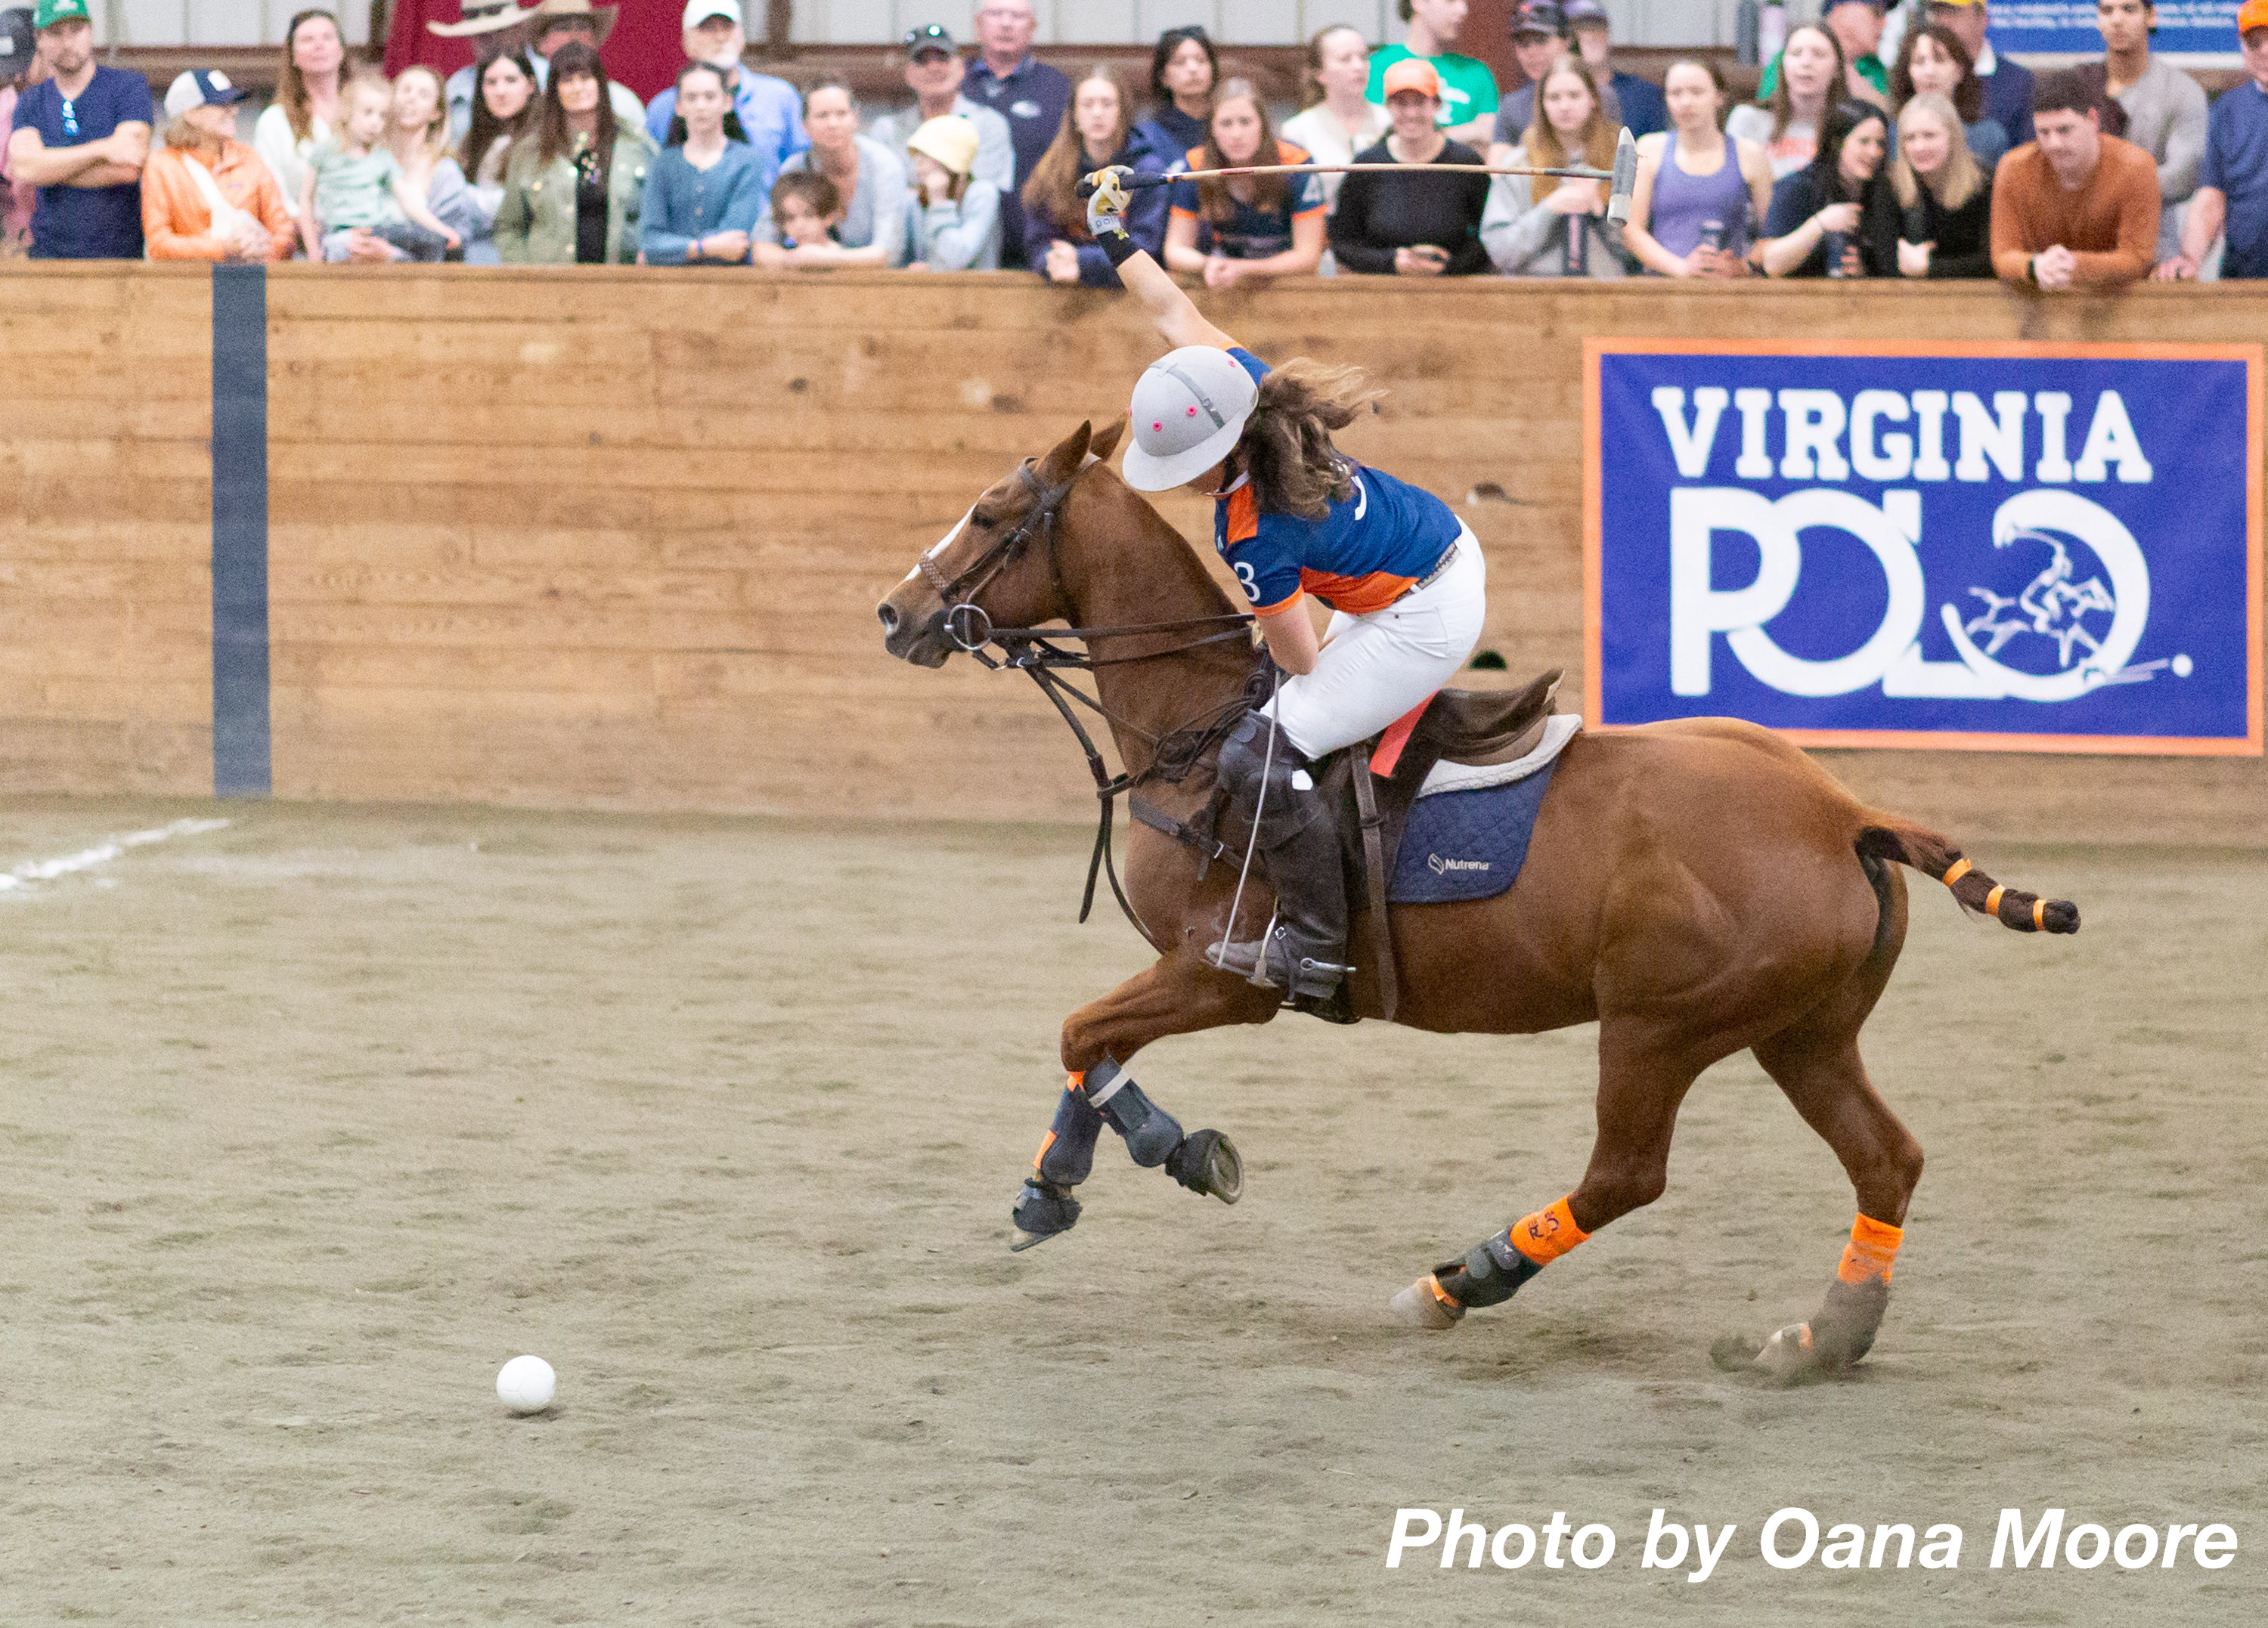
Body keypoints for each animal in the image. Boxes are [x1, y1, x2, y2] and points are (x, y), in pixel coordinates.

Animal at [875, 422, 2077, 1388]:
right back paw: (1824, 1336)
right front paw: (1078, 1176)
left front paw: (1141, 1158)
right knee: (1888, 1158)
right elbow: (1090, 1040)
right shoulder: (1191, 970)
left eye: (991, 513)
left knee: (1627, 1174)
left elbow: (1081, 1030)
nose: (897, 613)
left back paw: (1462, 1280)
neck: (1197, 730)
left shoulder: (1225, 970)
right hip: (1801, 1029)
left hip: (1660, 1025)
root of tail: (1845, 813)